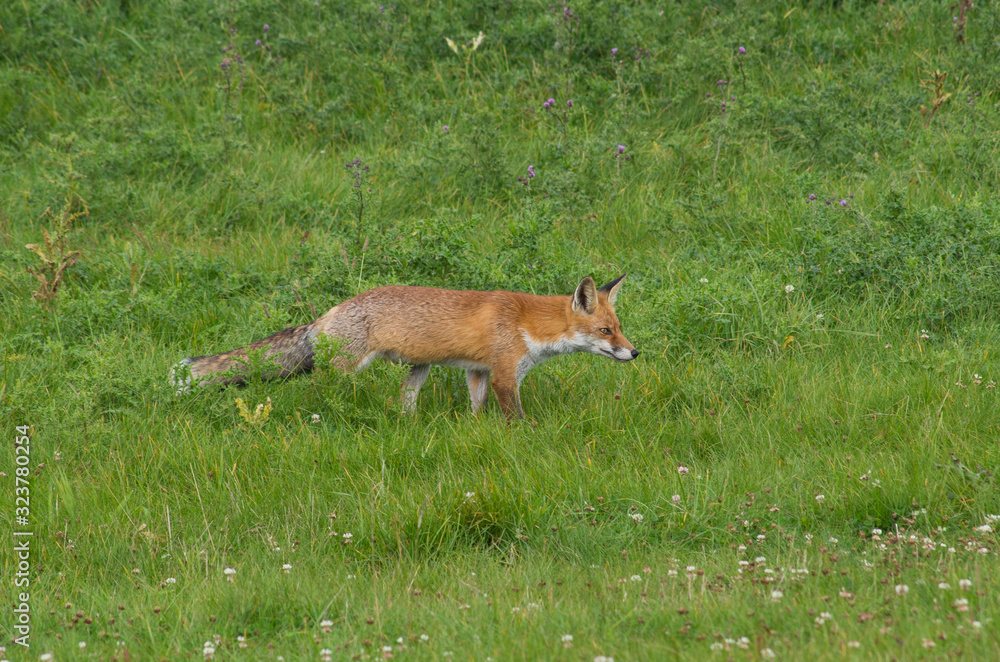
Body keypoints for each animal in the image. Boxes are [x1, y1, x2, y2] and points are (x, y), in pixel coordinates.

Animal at [170, 274, 640, 420]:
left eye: (619, 329)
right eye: (605, 332)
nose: (635, 353)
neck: (527, 324)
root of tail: (325, 314)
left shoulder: (478, 372)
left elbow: (477, 410)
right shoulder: (506, 374)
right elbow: (516, 419)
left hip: (418, 371)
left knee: (405, 403)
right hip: (345, 371)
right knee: (316, 395)